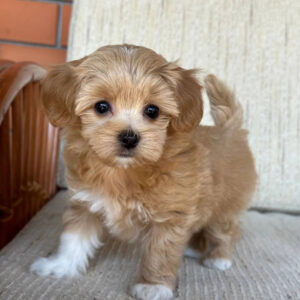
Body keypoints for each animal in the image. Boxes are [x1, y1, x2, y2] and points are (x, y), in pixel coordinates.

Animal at [30, 44, 256, 300]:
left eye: (152, 110)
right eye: (101, 107)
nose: (129, 137)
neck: (122, 171)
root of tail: (231, 130)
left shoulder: (169, 217)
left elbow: (160, 253)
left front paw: (153, 286)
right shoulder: (86, 204)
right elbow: (73, 239)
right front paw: (59, 266)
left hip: (226, 207)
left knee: (228, 231)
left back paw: (219, 258)